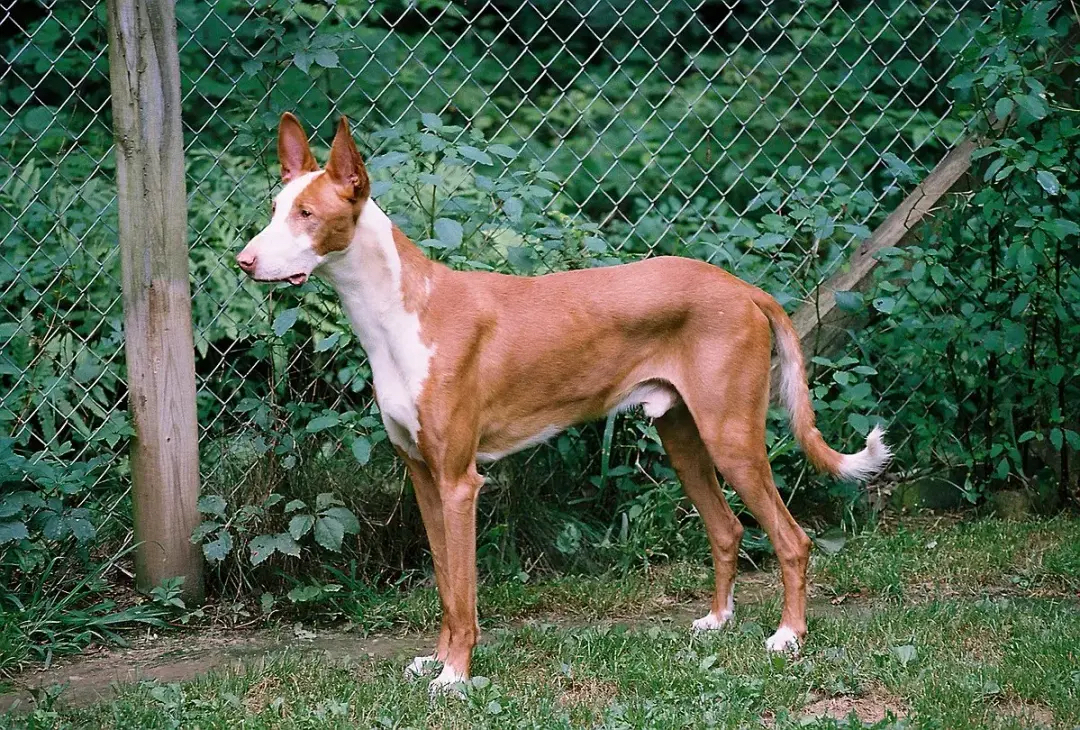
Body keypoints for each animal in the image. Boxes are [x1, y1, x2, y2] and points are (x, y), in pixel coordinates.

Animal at [240, 112, 889, 691]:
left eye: (306, 215)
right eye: (274, 210)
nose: (244, 262)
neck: (402, 313)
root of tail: (743, 288)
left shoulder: (459, 483)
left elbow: (464, 593)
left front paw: (456, 677)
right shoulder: (424, 477)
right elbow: (448, 587)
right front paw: (437, 662)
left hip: (732, 439)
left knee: (791, 539)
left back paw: (788, 637)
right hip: (684, 437)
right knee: (727, 529)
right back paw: (718, 621)